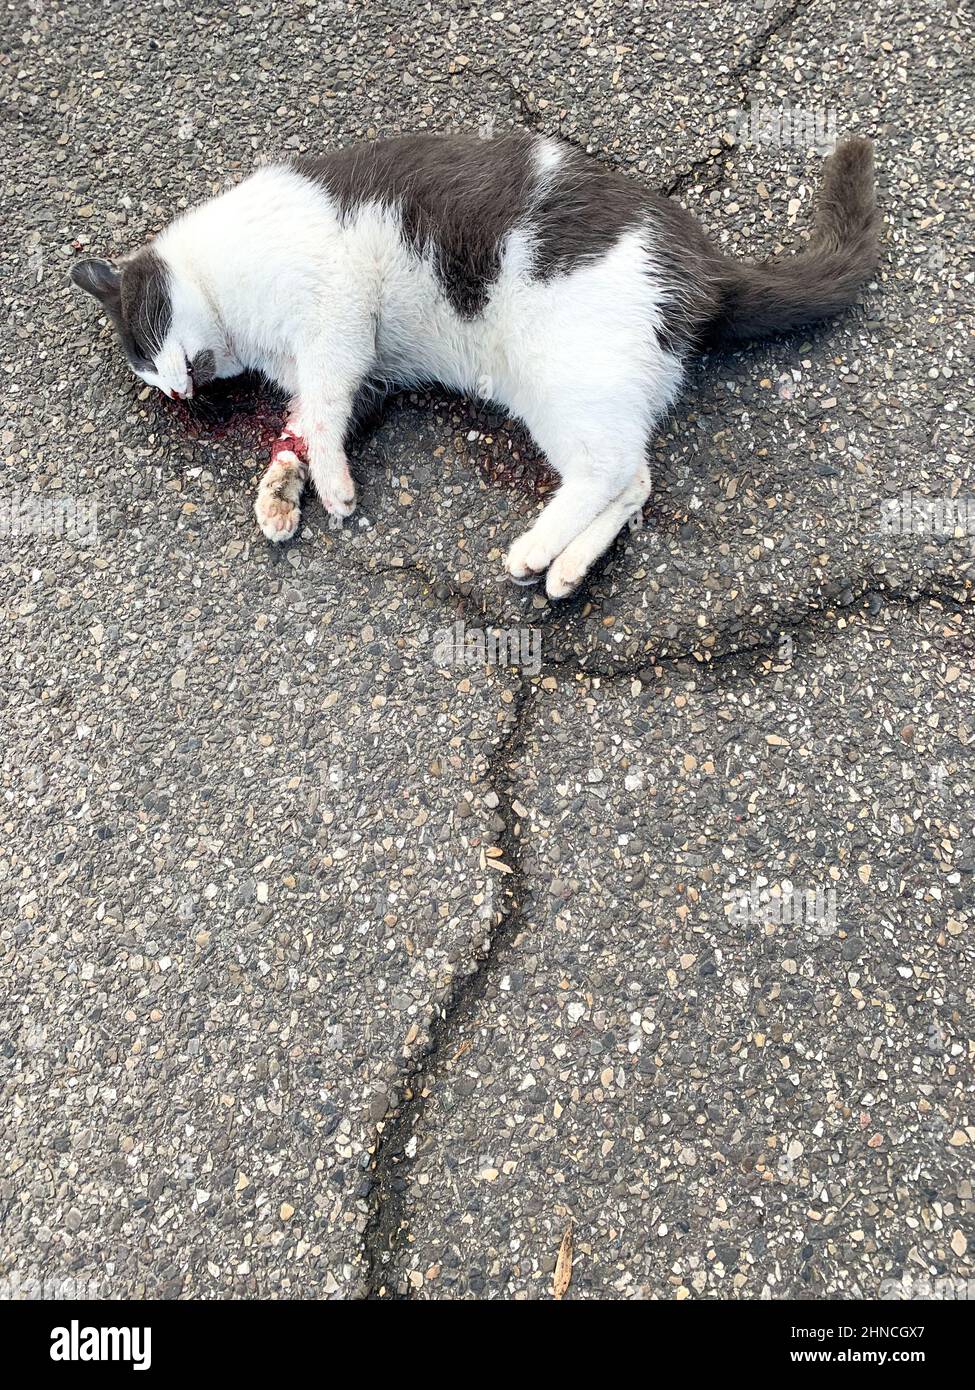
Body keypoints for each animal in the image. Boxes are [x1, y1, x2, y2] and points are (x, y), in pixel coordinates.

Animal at [68, 131, 873, 603]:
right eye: (148, 379)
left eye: (146, 338)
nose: (179, 391)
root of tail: (703, 262)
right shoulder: (363, 373)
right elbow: (307, 424)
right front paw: (281, 490)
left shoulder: (336, 322)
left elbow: (323, 414)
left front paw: (331, 489)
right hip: (589, 391)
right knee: (633, 477)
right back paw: (565, 567)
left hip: (560, 375)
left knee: (610, 470)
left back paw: (535, 551)